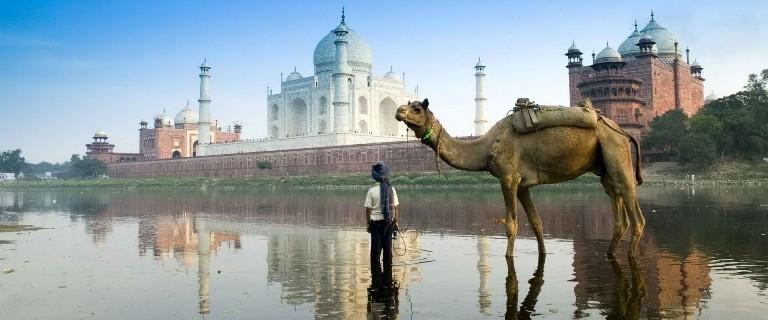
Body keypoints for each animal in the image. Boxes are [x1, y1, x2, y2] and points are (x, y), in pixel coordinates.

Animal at [400, 99, 644, 258]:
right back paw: (609, 253)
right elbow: (536, 222)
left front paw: (509, 257)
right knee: (617, 210)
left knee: (636, 215)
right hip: (605, 168)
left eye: (417, 108)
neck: (485, 147)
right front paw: (543, 253)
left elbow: (511, 225)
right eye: (408, 104)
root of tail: (623, 131)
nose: (399, 111)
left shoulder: (508, 178)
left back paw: (631, 255)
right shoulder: (522, 185)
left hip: (616, 151)